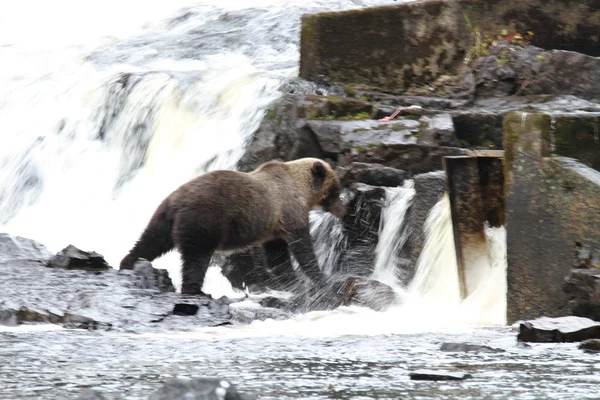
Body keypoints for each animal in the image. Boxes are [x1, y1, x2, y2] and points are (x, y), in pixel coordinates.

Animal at [119, 159, 344, 294]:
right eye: (336, 189)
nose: (343, 210)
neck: (301, 189)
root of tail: (177, 202)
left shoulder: (274, 228)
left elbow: (278, 256)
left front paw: (292, 282)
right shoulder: (289, 210)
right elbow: (302, 247)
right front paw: (321, 277)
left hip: (163, 217)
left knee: (150, 241)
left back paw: (127, 263)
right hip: (205, 219)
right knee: (196, 257)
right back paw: (196, 289)